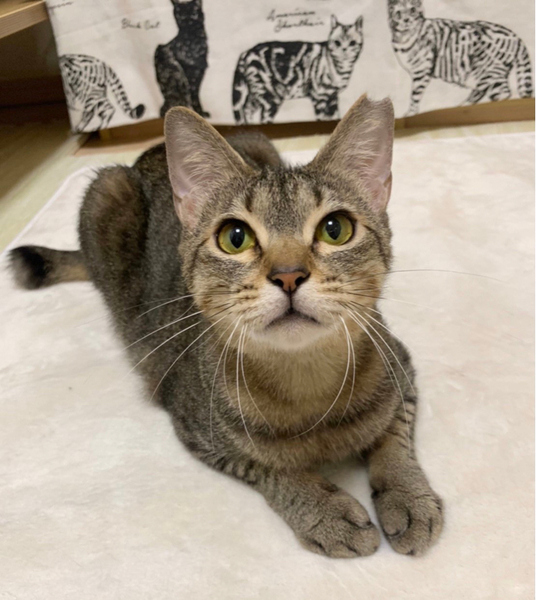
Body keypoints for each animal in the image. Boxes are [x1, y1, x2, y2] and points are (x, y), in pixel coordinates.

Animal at [10, 96, 443, 558]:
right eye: (235, 237)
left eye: (335, 229)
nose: (289, 275)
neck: (306, 383)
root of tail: (152, 151)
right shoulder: (197, 429)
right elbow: (270, 467)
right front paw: (325, 512)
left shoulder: (402, 367)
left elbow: (393, 437)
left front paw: (408, 497)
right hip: (104, 190)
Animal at [233, 15, 363, 124]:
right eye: (337, 42)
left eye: (352, 43)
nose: (344, 50)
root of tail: (245, 53)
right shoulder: (319, 97)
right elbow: (322, 119)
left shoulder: (332, 98)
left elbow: (335, 118)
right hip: (269, 96)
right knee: (261, 117)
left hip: (257, 94)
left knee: (247, 109)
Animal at [387, 0, 533, 116]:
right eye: (398, 13)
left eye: (412, 10)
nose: (406, 20)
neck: (403, 36)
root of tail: (517, 37)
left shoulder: (421, 71)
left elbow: (415, 95)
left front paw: (411, 113)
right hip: (482, 76)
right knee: (484, 92)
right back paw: (464, 106)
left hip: (488, 72)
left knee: (503, 94)